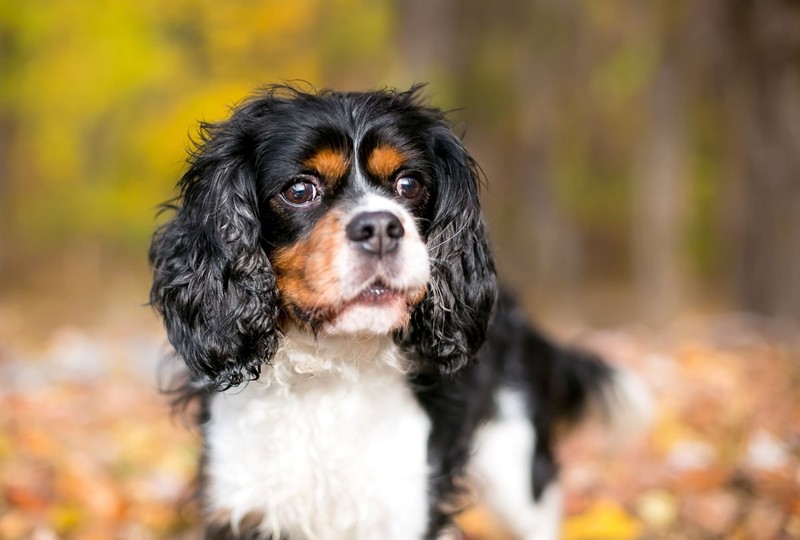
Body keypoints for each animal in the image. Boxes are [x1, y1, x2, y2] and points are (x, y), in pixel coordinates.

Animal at [150, 85, 648, 540]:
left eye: (408, 184)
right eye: (299, 190)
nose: (380, 227)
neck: (330, 371)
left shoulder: (404, 505)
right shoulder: (243, 501)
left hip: (519, 472)